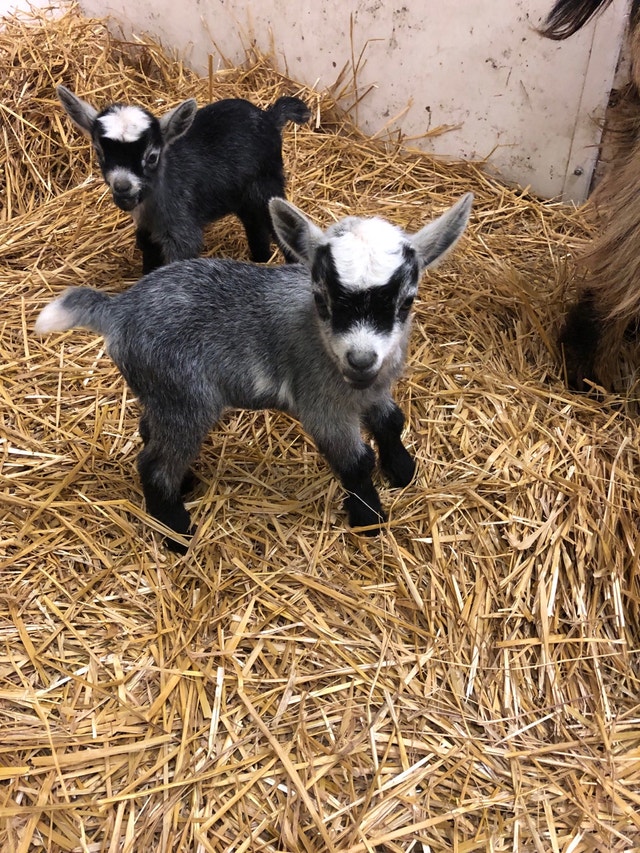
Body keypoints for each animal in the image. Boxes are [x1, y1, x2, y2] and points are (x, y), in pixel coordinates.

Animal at [35, 193, 473, 552]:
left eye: (407, 301)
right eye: (322, 298)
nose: (361, 359)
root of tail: (118, 311)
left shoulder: (374, 391)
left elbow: (391, 422)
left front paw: (402, 471)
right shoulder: (321, 404)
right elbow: (355, 462)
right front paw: (370, 521)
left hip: (161, 394)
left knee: (149, 433)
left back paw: (186, 484)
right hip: (186, 398)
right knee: (155, 466)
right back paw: (178, 534)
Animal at [57, 85, 310, 273]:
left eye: (152, 156)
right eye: (99, 153)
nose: (122, 186)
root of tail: (269, 117)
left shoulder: (181, 229)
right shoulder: (147, 228)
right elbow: (148, 251)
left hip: (267, 183)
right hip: (242, 196)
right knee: (253, 222)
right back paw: (260, 258)